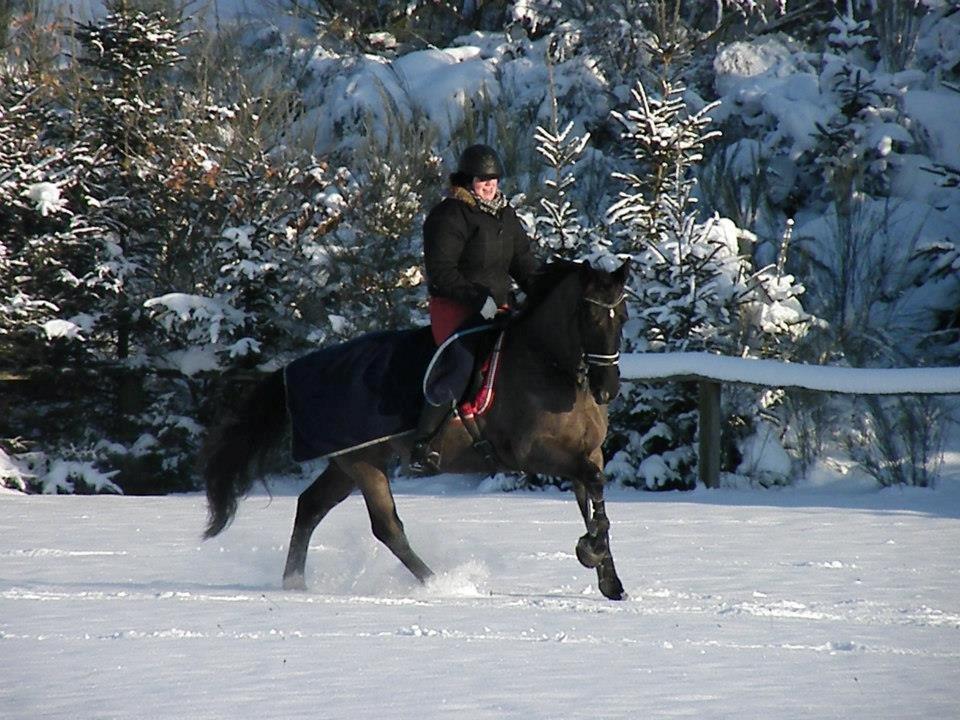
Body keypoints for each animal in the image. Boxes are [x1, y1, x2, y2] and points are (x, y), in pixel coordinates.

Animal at [202, 258, 632, 596]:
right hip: (364, 464)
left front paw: (609, 579)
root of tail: (293, 370)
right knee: (386, 527)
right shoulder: (532, 454)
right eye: (590, 315)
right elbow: (593, 488)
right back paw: (440, 583)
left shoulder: (587, 452)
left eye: (622, 317)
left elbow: (594, 497)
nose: (607, 388)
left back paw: (294, 583)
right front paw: (590, 551)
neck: (549, 366)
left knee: (310, 506)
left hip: (348, 463)